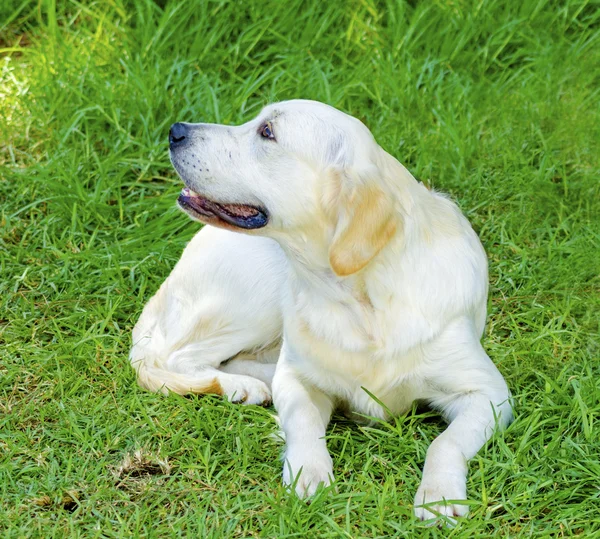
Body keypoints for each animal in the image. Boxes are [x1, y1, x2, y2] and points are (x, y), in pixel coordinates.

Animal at [130, 100, 510, 524]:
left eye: (267, 132)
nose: (175, 130)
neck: (362, 303)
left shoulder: (488, 394)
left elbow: (445, 443)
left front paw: (438, 495)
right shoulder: (298, 380)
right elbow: (303, 418)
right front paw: (307, 470)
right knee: (177, 357)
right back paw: (239, 386)